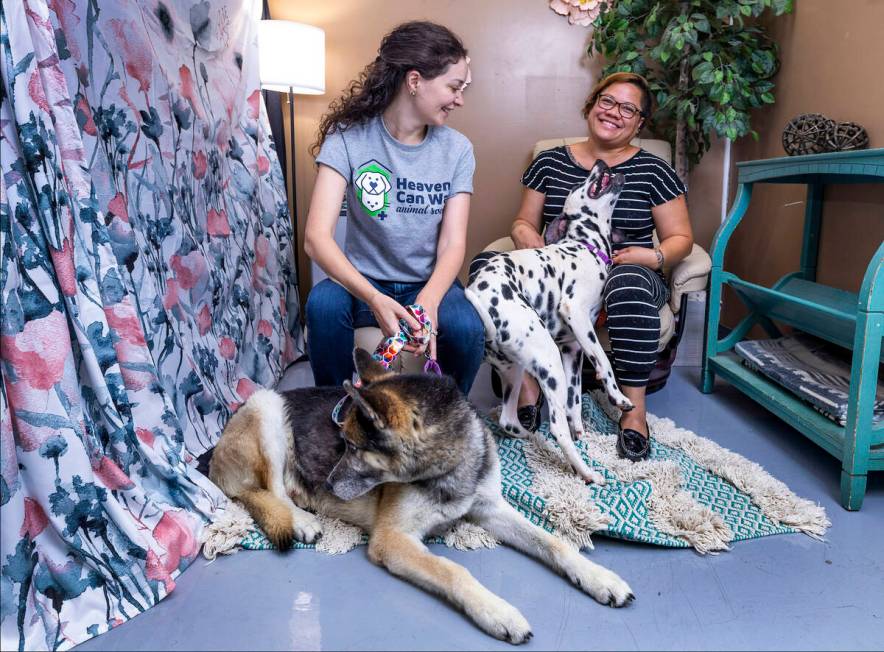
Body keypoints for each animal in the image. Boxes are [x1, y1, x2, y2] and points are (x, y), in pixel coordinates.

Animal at [210, 348, 632, 644]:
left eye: (352, 447)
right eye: (341, 443)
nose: (329, 484)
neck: (448, 466)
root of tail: (213, 460)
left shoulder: (492, 509)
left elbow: (554, 543)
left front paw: (598, 577)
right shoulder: (393, 539)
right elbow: (453, 570)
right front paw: (498, 611)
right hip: (266, 408)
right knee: (270, 490)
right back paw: (301, 518)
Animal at [466, 158, 632, 484]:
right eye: (580, 182)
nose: (600, 161)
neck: (586, 247)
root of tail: (479, 296)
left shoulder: (572, 350)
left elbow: (575, 400)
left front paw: (580, 428)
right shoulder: (577, 317)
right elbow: (605, 363)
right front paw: (618, 397)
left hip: (515, 369)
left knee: (508, 419)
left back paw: (534, 439)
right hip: (548, 357)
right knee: (556, 429)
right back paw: (587, 472)